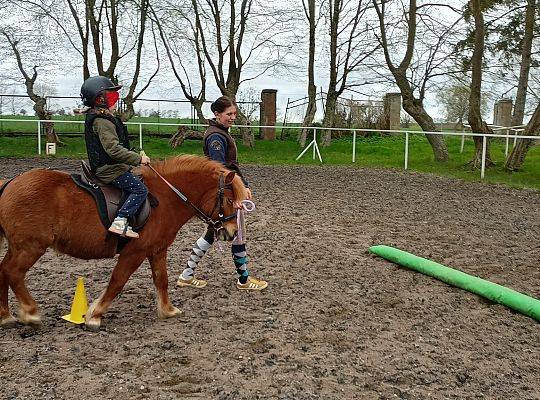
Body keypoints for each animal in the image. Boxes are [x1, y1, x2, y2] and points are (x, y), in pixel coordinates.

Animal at [0, 155, 247, 330]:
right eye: (228, 199)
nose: (232, 232)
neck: (166, 199)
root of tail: (10, 183)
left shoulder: (157, 250)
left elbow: (162, 280)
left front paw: (167, 310)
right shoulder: (134, 252)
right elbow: (117, 281)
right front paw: (94, 316)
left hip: (18, 246)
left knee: (4, 270)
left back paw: (6, 316)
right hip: (30, 247)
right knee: (13, 273)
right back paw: (30, 313)